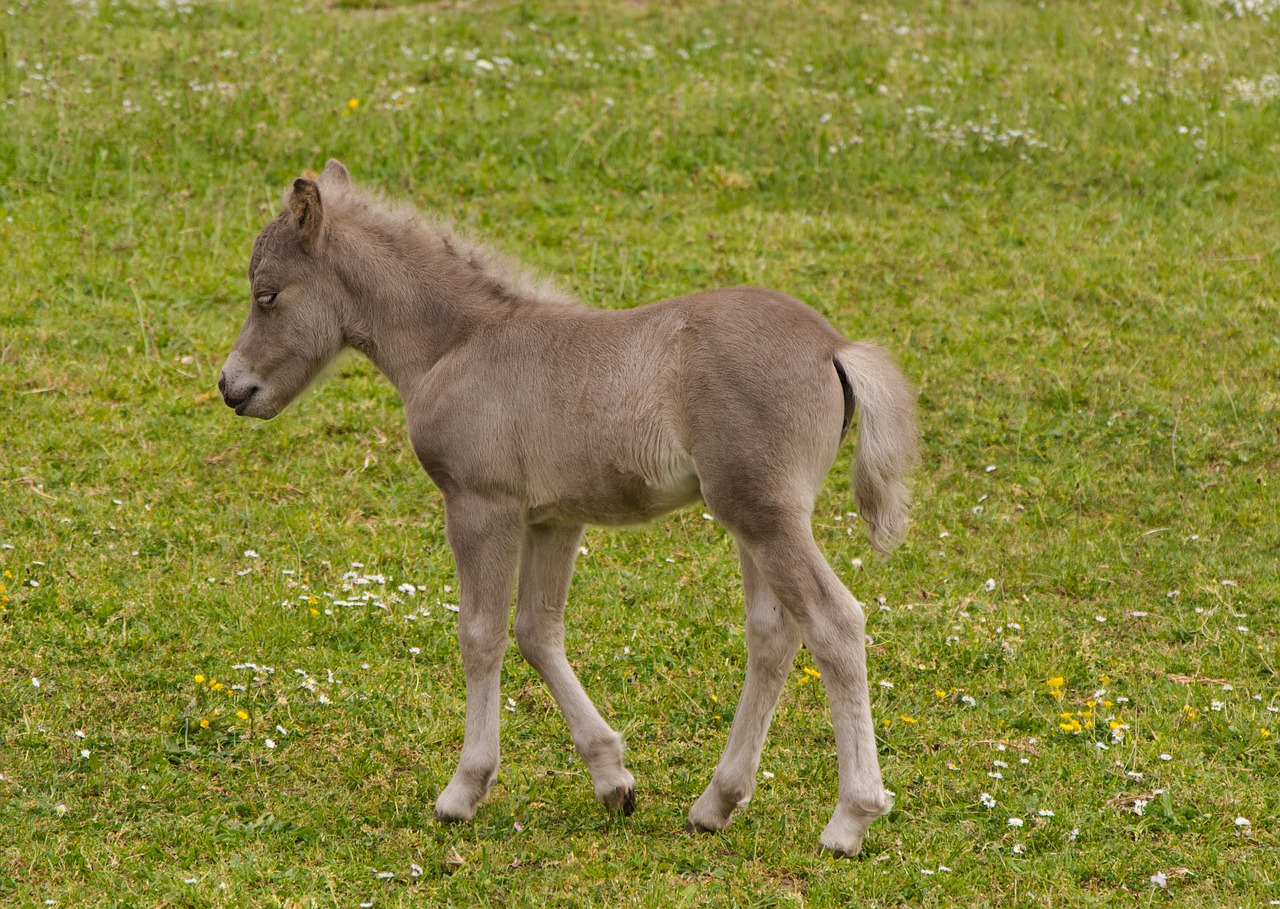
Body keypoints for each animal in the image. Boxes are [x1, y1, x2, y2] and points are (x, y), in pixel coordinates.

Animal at [220, 160, 921, 860]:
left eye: (267, 295)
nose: (232, 387)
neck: (457, 345)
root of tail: (835, 346)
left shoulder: (481, 507)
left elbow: (480, 634)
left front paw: (463, 790)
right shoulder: (555, 519)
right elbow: (537, 630)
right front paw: (613, 780)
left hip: (765, 515)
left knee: (834, 622)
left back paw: (850, 819)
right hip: (753, 520)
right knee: (772, 635)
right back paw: (716, 804)